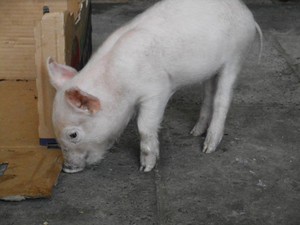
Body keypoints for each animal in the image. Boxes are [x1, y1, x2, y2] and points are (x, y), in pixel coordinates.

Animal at [46, 0, 262, 173]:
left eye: (73, 134)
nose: (67, 169)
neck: (120, 86)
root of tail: (247, 13)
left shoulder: (157, 90)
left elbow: (144, 127)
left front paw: (145, 168)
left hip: (236, 57)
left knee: (222, 99)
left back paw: (208, 148)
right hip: (210, 69)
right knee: (208, 95)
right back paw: (194, 132)